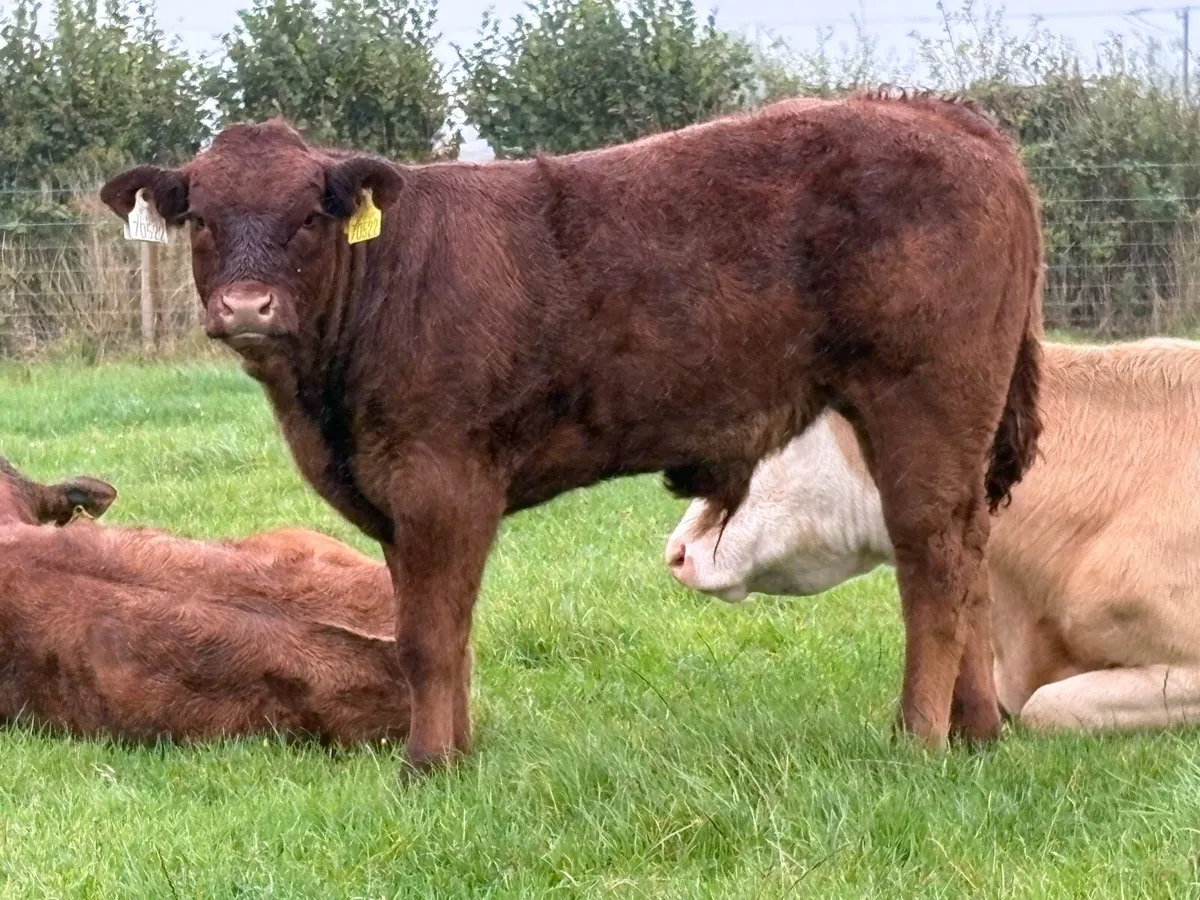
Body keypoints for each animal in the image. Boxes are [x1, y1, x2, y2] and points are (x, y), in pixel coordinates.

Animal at [101, 91, 1044, 770]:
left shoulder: (442, 481)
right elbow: (439, 630)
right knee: (969, 549)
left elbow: (428, 638)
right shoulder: (397, 503)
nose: (246, 307)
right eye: (200, 217)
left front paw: (428, 766)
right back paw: (976, 731)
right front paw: (461, 752)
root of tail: (946, 116)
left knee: (931, 555)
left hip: (922, 395)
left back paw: (918, 737)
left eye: (309, 215)